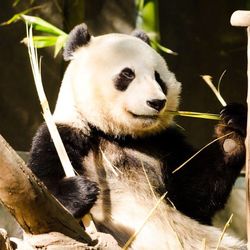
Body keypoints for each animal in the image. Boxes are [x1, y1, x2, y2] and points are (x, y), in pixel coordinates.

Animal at [28, 23, 247, 248]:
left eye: (158, 77)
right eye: (127, 74)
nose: (157, 102)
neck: (118, 134)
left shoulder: (163, 142)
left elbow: (195, 196)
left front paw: (232, 132)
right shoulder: (65, 132)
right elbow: (42, 191)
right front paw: (80, 192)